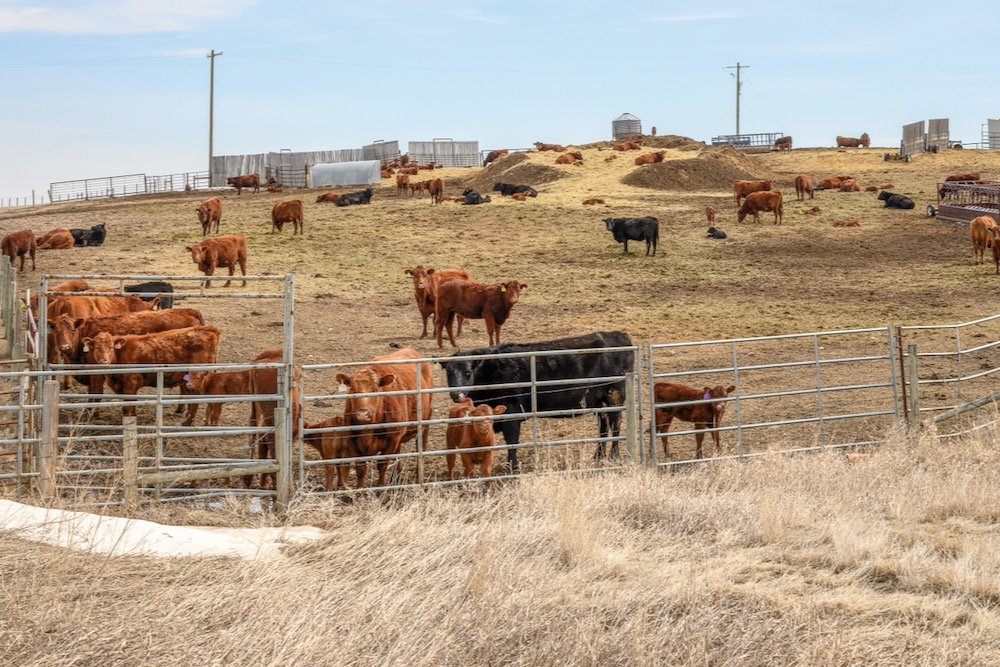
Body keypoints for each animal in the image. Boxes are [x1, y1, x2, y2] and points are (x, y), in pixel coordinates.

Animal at [81, 325, 220, 421]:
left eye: (111, 348)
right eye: (97, 348)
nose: (104, 362)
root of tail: (209, 329)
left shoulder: (130, 385)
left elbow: (129, 405)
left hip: (197, 376)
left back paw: (187, 422)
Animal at [335, 347, 433, 489]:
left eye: (375, 390)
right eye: (352, 389)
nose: (362, 414)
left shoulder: (392, 439)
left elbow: (382, 465)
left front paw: (381, 489)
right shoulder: (351, 439)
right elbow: (360, 467)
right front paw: (359, 490)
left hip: (425, 422)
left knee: (421, 445)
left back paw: (418, 474)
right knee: (397, 456)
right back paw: (395, 478)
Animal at [438, 331, 635, 471]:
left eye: (468, 372)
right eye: (448, 373)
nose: (457, 395)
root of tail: (620, 335)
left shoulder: (511, 414)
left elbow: (512, 442)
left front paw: (512, 467)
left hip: (614, 397)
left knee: (615, 425)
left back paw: (613, 456)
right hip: (599, 403)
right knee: (603, 427)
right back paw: (598, 456)